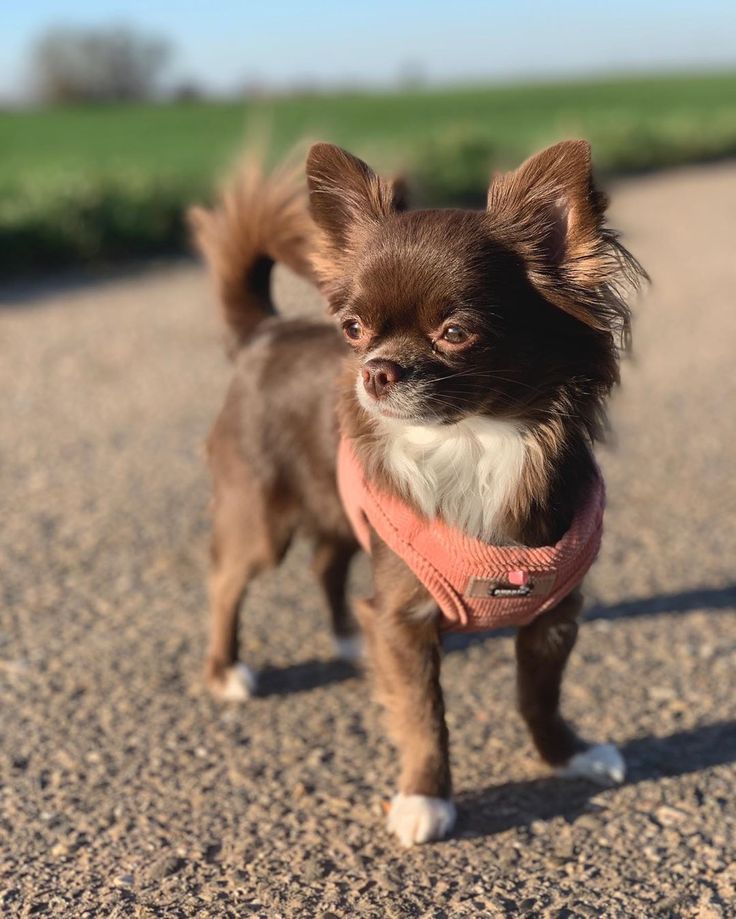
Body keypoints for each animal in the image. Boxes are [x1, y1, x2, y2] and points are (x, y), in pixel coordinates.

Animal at [190, 142, 644, 848]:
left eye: (456, 332)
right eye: (353, 328)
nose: (375, 370)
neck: (475, 442)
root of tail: (264, 335)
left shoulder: (554, 617)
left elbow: (539, 697)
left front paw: (566, 754)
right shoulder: (405, 617)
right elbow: (424, 713)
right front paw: (426, 797)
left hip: (340, 514)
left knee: (327, 562)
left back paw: (350, 640)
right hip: (261, 518)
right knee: (226, 582)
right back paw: (226, 670)